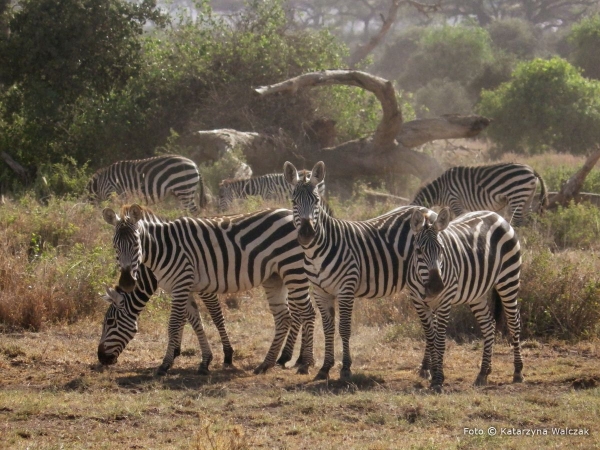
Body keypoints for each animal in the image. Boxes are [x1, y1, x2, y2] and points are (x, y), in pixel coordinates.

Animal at [102, 204, 318, 376]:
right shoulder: (184, 288)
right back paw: (268, 363)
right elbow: (196, 322)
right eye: (115, 246)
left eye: (110, 322)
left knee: (307, 312)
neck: (163, 249)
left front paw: (166, 364)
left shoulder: (184, 285)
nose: (101, 358)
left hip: (293, 269)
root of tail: (290, 212)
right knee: (285, 317)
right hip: (276, 277)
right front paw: (204, 361)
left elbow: (180, 323)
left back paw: (305, 363)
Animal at [284, 160, 428, 382]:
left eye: (316, 201)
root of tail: (427, 209)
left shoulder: (346, 289)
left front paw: (345, 368)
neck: (316, 253)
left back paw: (427, 367)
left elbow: (344, 328)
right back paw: (426, 366)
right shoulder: (320, 292)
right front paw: (325, 368)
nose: (307, 234)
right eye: (293, 201)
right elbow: (328, 329)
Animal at [406, 207, 524, 390]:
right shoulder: (418, 303)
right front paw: (433, 374)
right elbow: (430, 339)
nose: (437, 287)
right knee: (489, 325)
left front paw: (438, 379)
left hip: (509, 278)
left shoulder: (444, 302)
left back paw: (517, 371)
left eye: (441, 249)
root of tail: (496, 215)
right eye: (418, 251)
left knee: (514, 323)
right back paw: (483, 372)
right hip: (477, 294)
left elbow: (440, 341)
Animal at [412, 163, 548, 227]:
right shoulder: (450, 205)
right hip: (528, 197)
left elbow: (459, 217)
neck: (440, 190)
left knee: (518, 221)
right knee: (529, 220)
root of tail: (532, 170)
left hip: (517, 195)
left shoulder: (454, 200)